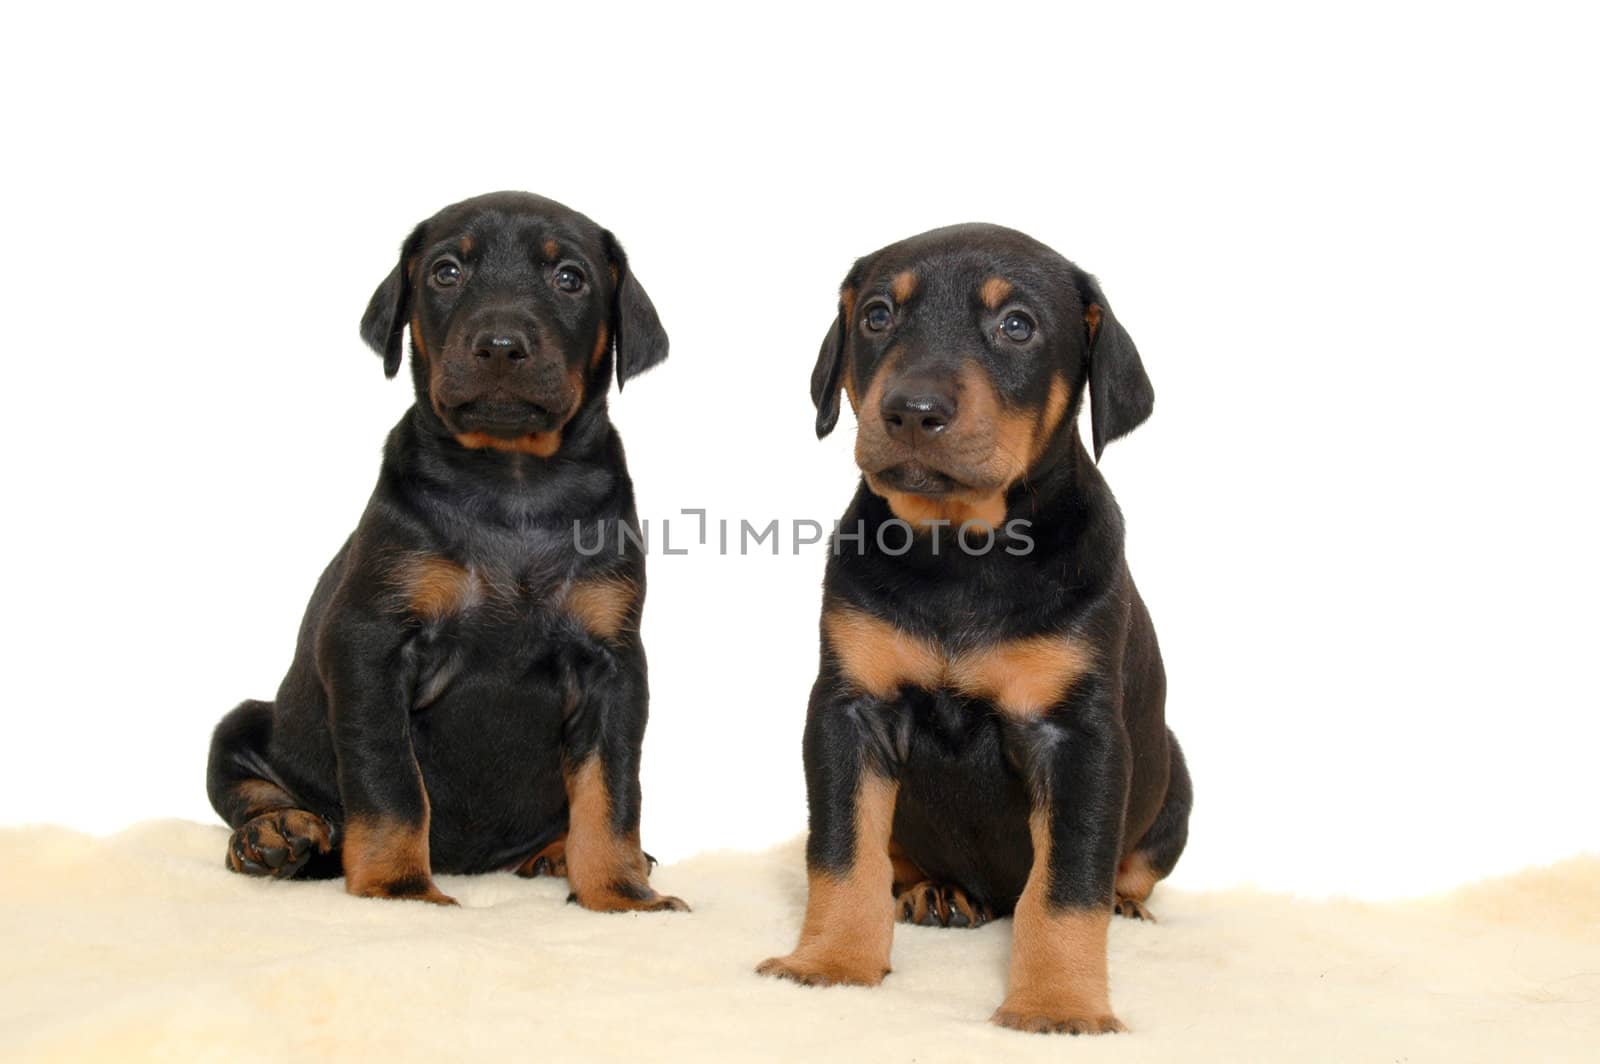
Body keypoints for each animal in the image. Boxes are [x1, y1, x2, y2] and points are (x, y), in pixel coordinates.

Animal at [204, 188, 681, 902]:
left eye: (570, 278)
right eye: (446, 272)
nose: (501, 346)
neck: (514, 484)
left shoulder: (614, 661)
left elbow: (612, 792)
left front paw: (621, 895)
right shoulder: (369, 644)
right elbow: (391, 785)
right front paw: (399, 889)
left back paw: (556, 851)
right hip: (248, 722)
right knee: (248, 786)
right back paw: (278, 834)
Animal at [758, 222, 1190, 1030]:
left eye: (1017, 325)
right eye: (877, 316)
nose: (912, 410)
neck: (961, 554)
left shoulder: (1078, 738)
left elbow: (1066, 886)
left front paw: (1058, 1005)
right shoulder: (850, 712)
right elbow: (842, 853)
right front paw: (830, 963)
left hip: (1173, 775)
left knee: (1125, 870)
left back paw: (1124, 902)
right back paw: (934, 890)